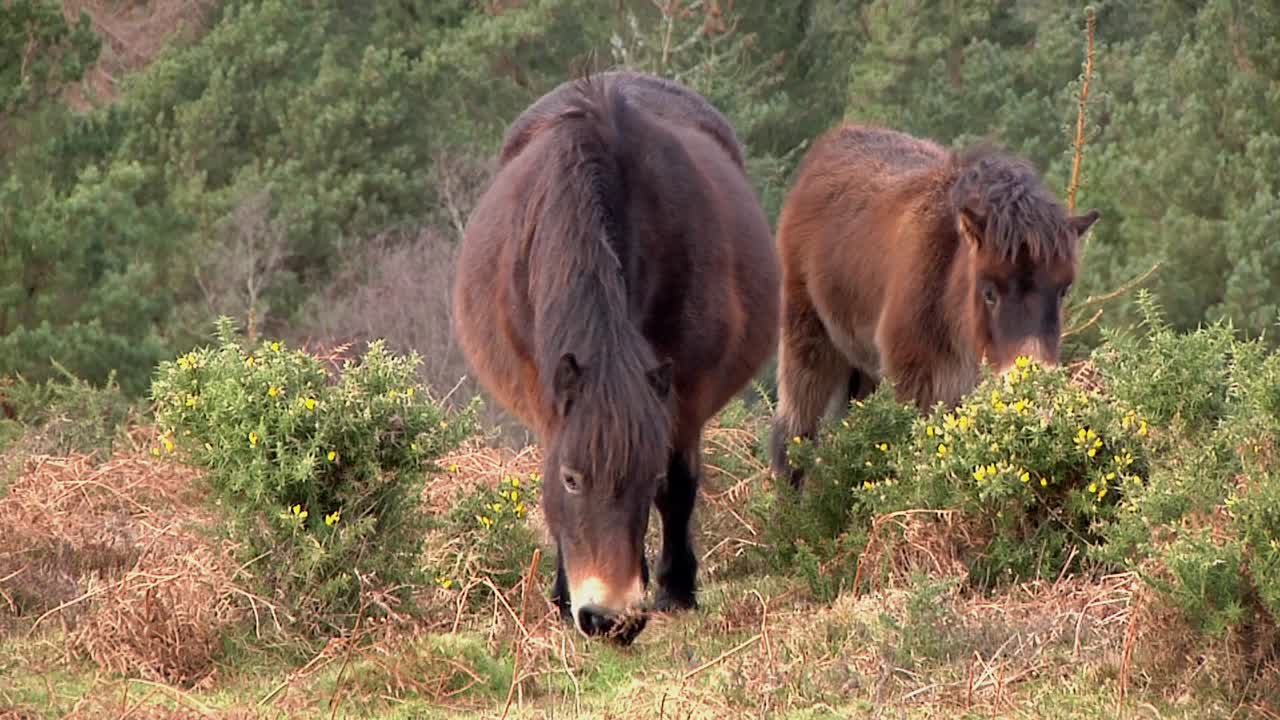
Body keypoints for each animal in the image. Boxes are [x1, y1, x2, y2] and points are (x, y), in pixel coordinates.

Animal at [452, 70, 781, 644]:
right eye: (571, 478)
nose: (609, 619)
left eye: (644, 478)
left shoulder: (684, 389)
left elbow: (678, 485)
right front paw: (563, 596)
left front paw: (676, 590)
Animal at [768, 123, 1100, 488]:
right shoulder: (917, 388)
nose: (1027, 378)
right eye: (989, 292)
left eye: (1063, 291)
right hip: (808, 341)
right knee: (792, 437)